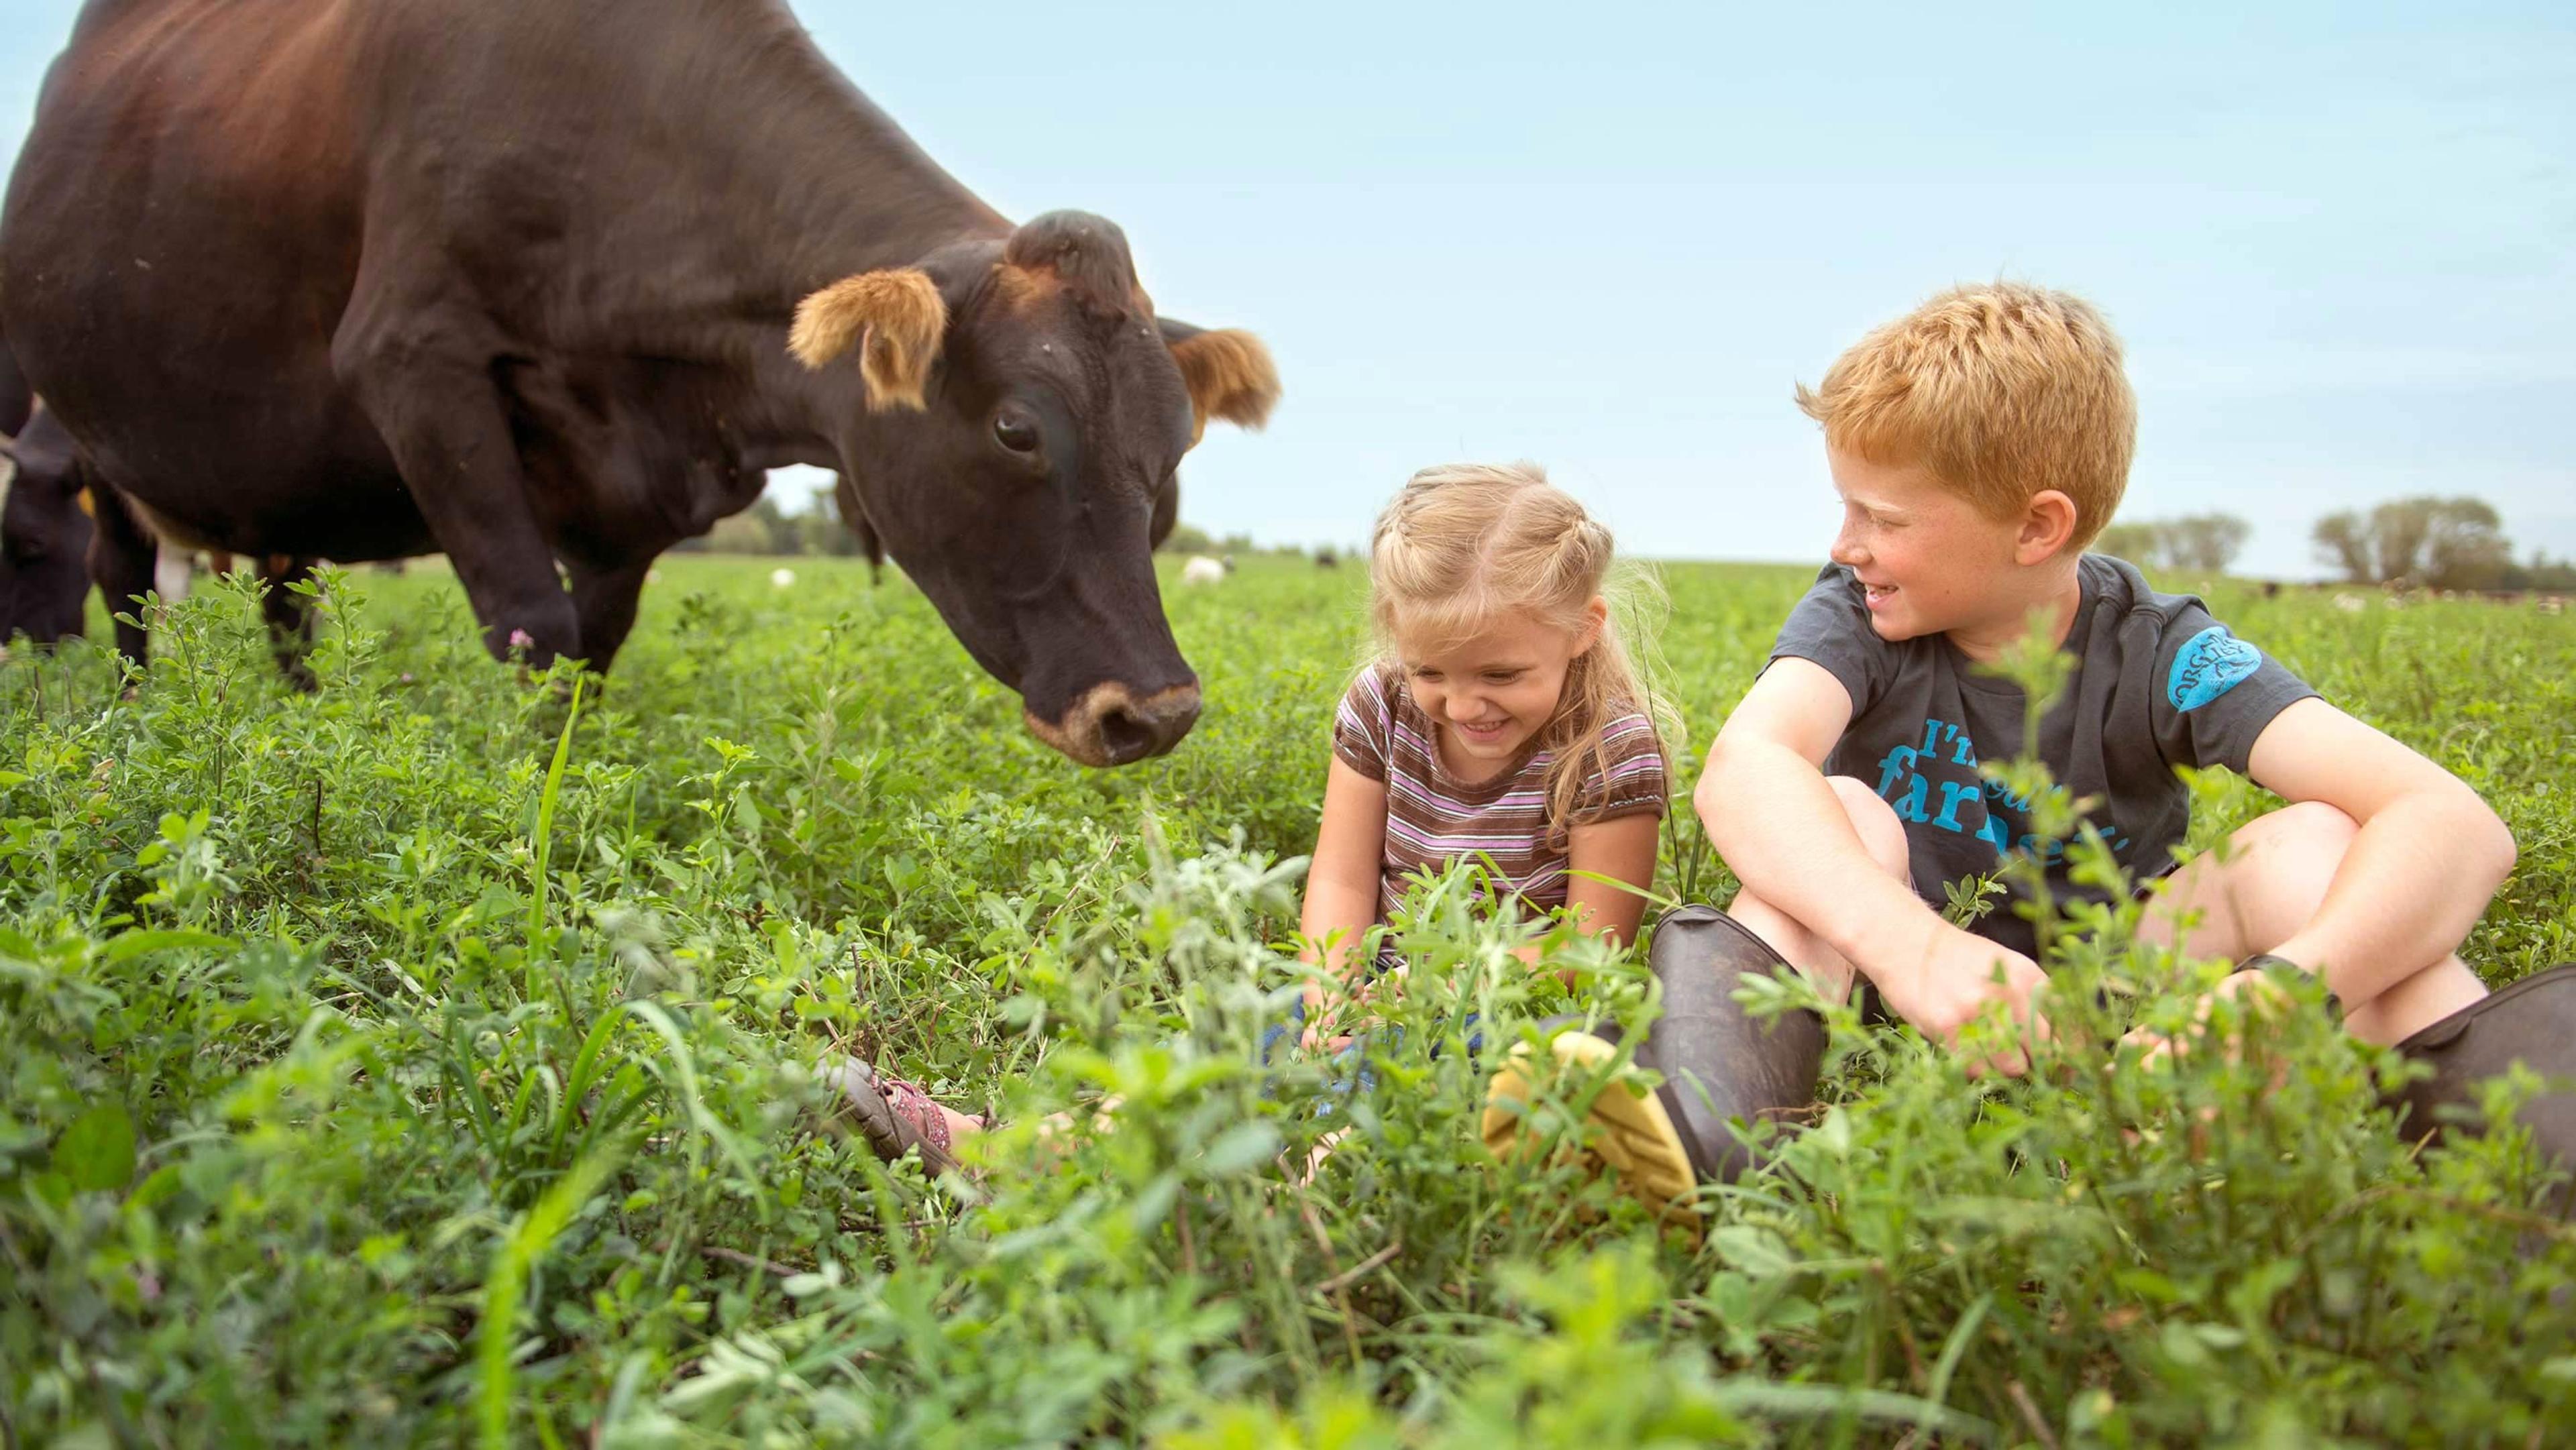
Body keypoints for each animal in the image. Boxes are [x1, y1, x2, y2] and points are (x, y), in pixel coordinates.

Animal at [5, 0, 1272, 773]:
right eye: (1017, 429)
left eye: (1175, 447)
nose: (1156, 711)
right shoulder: (418, 365)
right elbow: (532, 626)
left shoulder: (636, 501)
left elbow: (590, 650)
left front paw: (575, 780)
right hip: (98, 443)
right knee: (125, 592)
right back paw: (132, 733)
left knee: (287, 606)